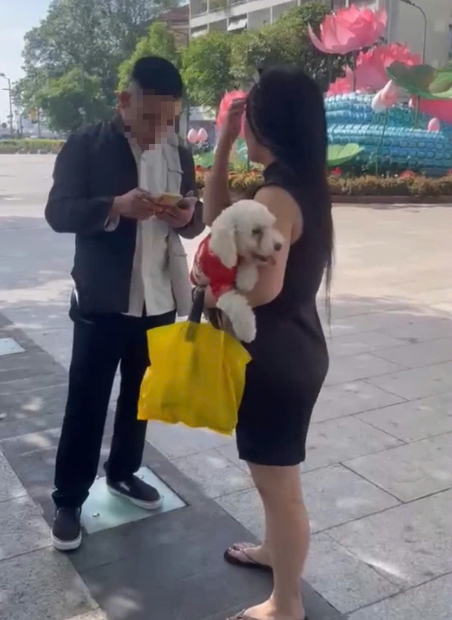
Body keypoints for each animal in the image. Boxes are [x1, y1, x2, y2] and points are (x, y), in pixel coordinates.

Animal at [190, 200, 282, 342]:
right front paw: (247, 331)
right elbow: (237, 306)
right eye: (256, 231)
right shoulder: (219, 287)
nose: (279, 246)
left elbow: (248, 265)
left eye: (271, 225)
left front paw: (245, 280)